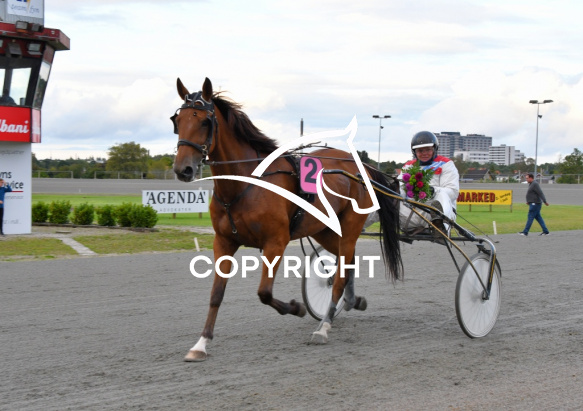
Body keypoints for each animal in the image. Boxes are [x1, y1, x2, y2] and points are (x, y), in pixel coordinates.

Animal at [172, 77, 403, 362]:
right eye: (177, 120)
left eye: (205, 121)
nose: (183, 169)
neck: (245, 184)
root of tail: (362, 168)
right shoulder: (223, 242)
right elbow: (216, 295)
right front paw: (201, 344)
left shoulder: (276, 241)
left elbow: (264, 293)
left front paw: (297, 307)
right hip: (324, 230)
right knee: (346, 262)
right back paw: (351, 302)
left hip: (349, 226)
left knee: (339, 274)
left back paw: (323, 326)